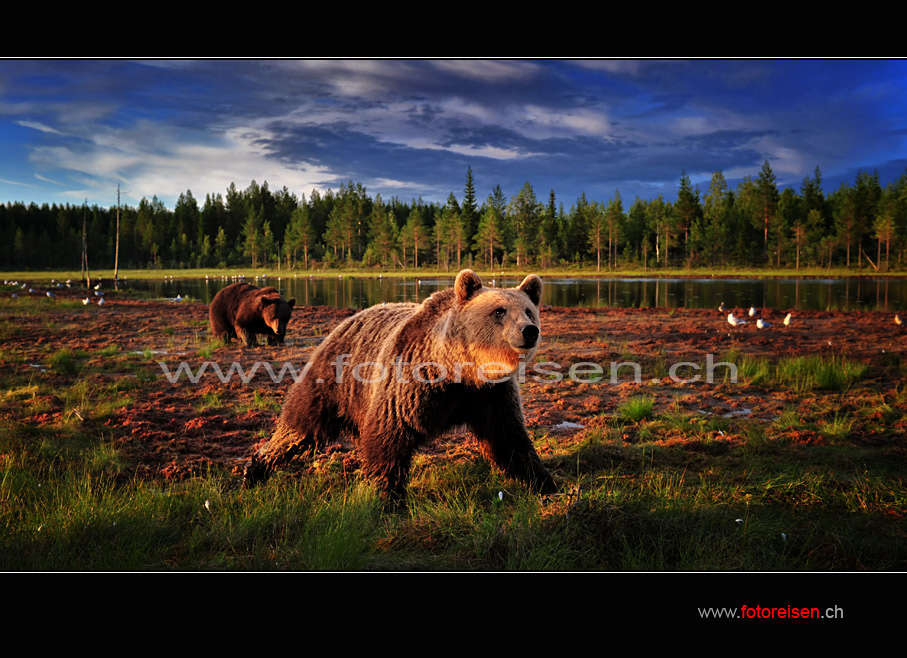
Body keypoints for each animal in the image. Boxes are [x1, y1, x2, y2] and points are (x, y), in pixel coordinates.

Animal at [241, 270, 556, 500]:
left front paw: (544, 483)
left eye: (529, 311)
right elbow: (389, 437)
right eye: (499, 311)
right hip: (333, 379)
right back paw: (256, 468)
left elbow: (508, 437)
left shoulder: (489, 394)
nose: (529, 331)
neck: (459, 370)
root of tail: (347, 320)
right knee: (299, 426)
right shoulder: (410, 384)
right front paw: (386, 496)